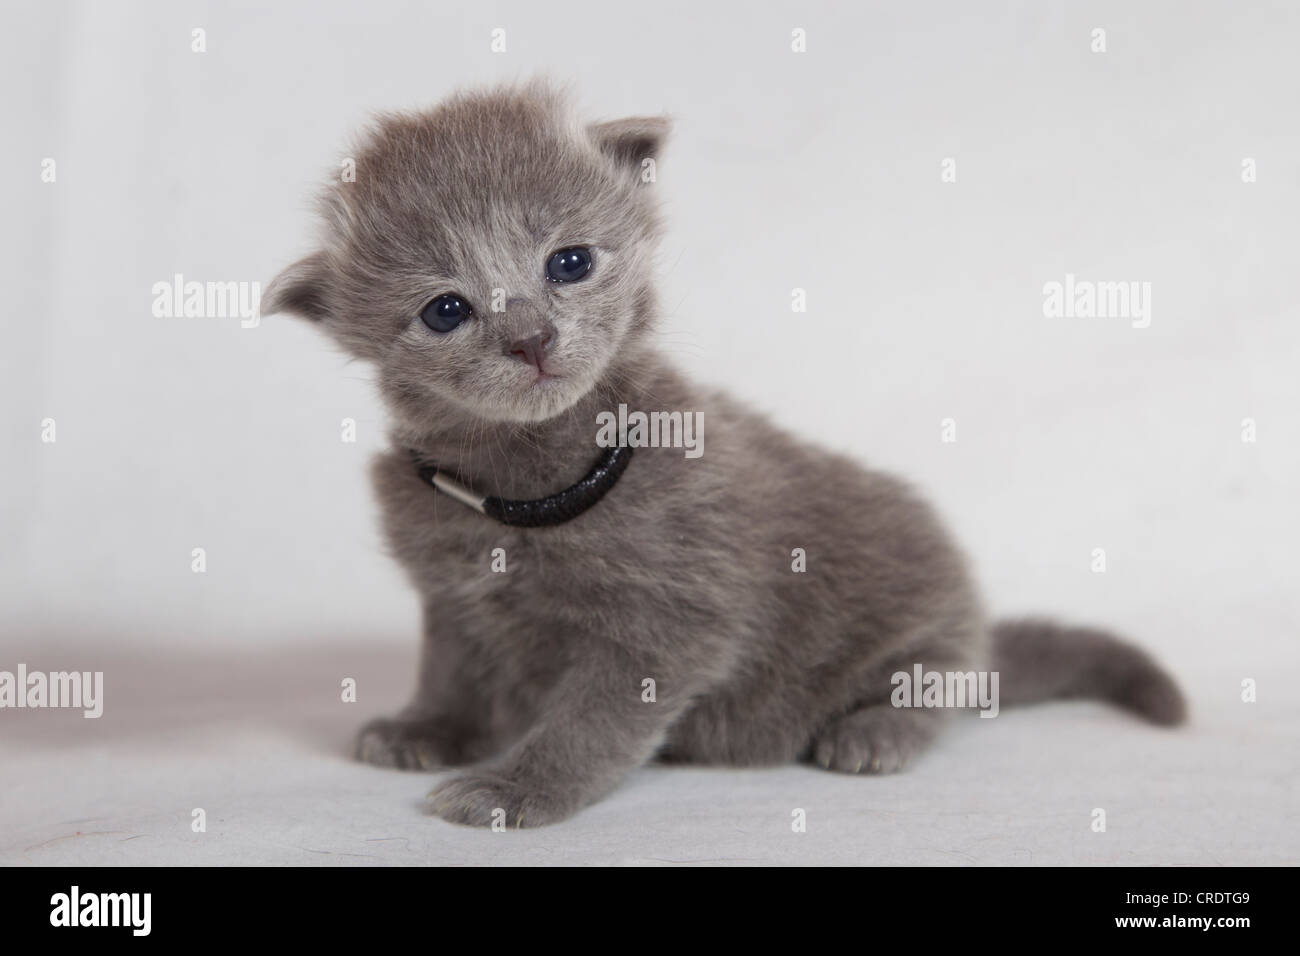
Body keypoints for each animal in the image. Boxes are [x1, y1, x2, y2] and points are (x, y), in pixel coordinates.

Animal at [266, 80, 1190, 832]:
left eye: (570, 261)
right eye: (446, 310)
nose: (531, 338)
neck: (528, 488)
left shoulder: (671, 622)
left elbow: (590, 721)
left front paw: (513, 788)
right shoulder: (452, 599)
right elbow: (453, 671)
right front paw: (426, 728)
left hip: (923, 616)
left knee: (943, 681)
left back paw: (875, 730)